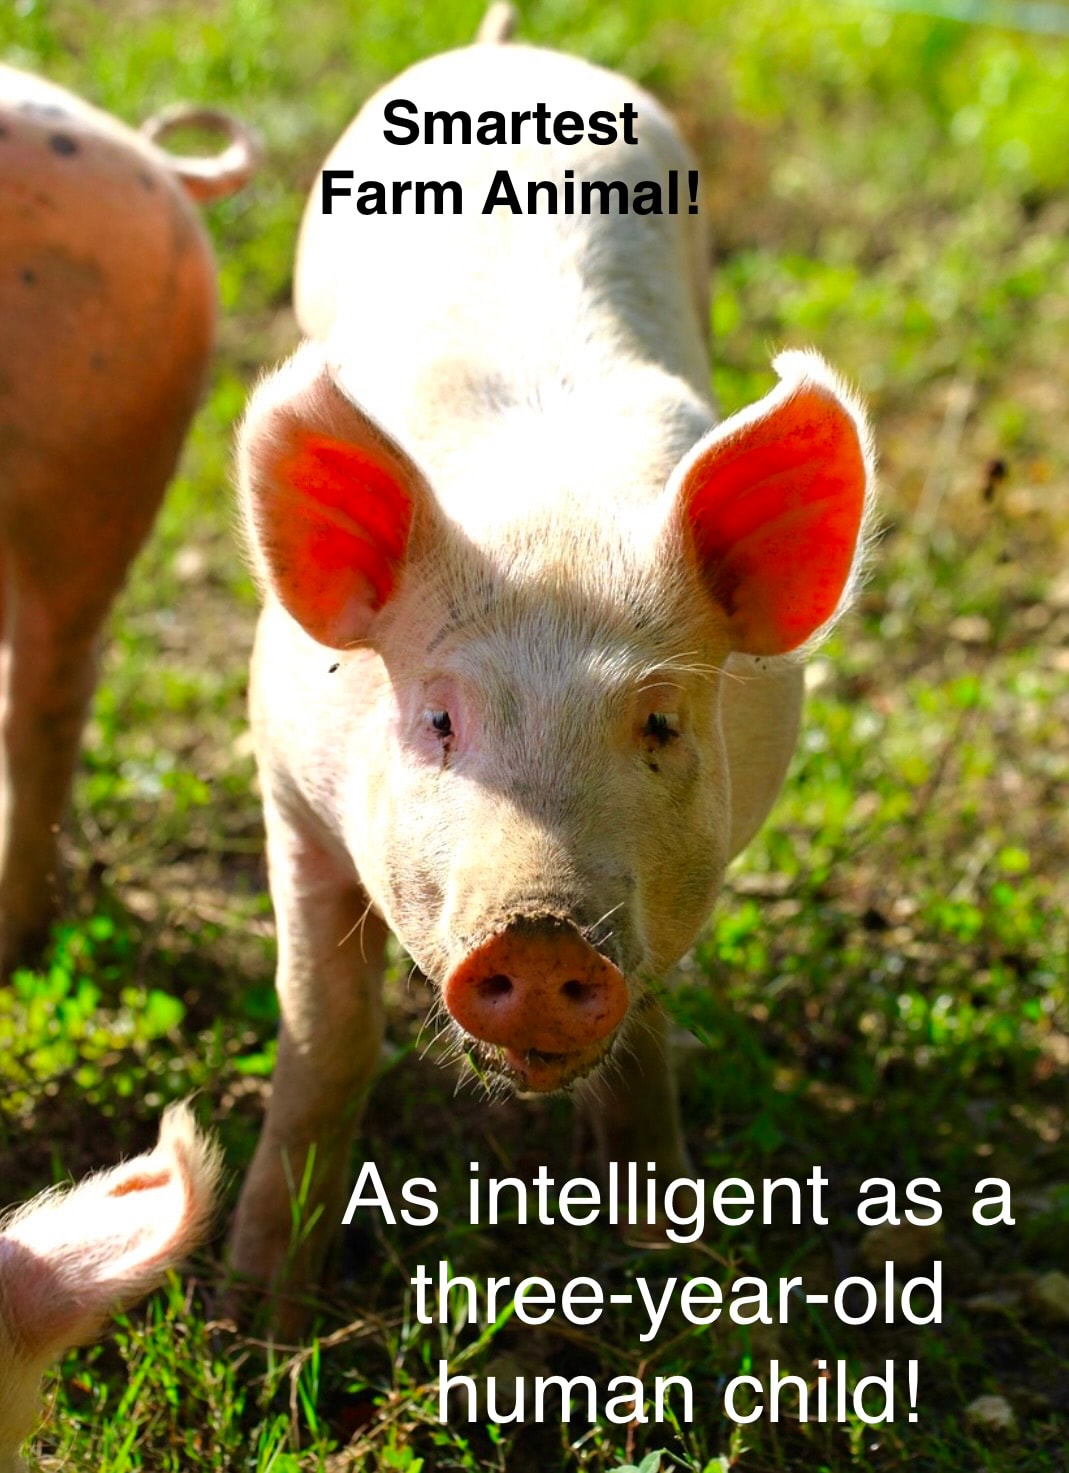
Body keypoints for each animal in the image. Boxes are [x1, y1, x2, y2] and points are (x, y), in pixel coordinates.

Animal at [231, 17, 875, 1328]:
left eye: (662, 724)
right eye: (436, 720)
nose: (538, 937)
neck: (552, 525)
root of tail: (508, 47)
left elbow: (650, 1019)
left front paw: (661, 1247)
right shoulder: (286, 786)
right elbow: (328, 1031)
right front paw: (254, 1316)